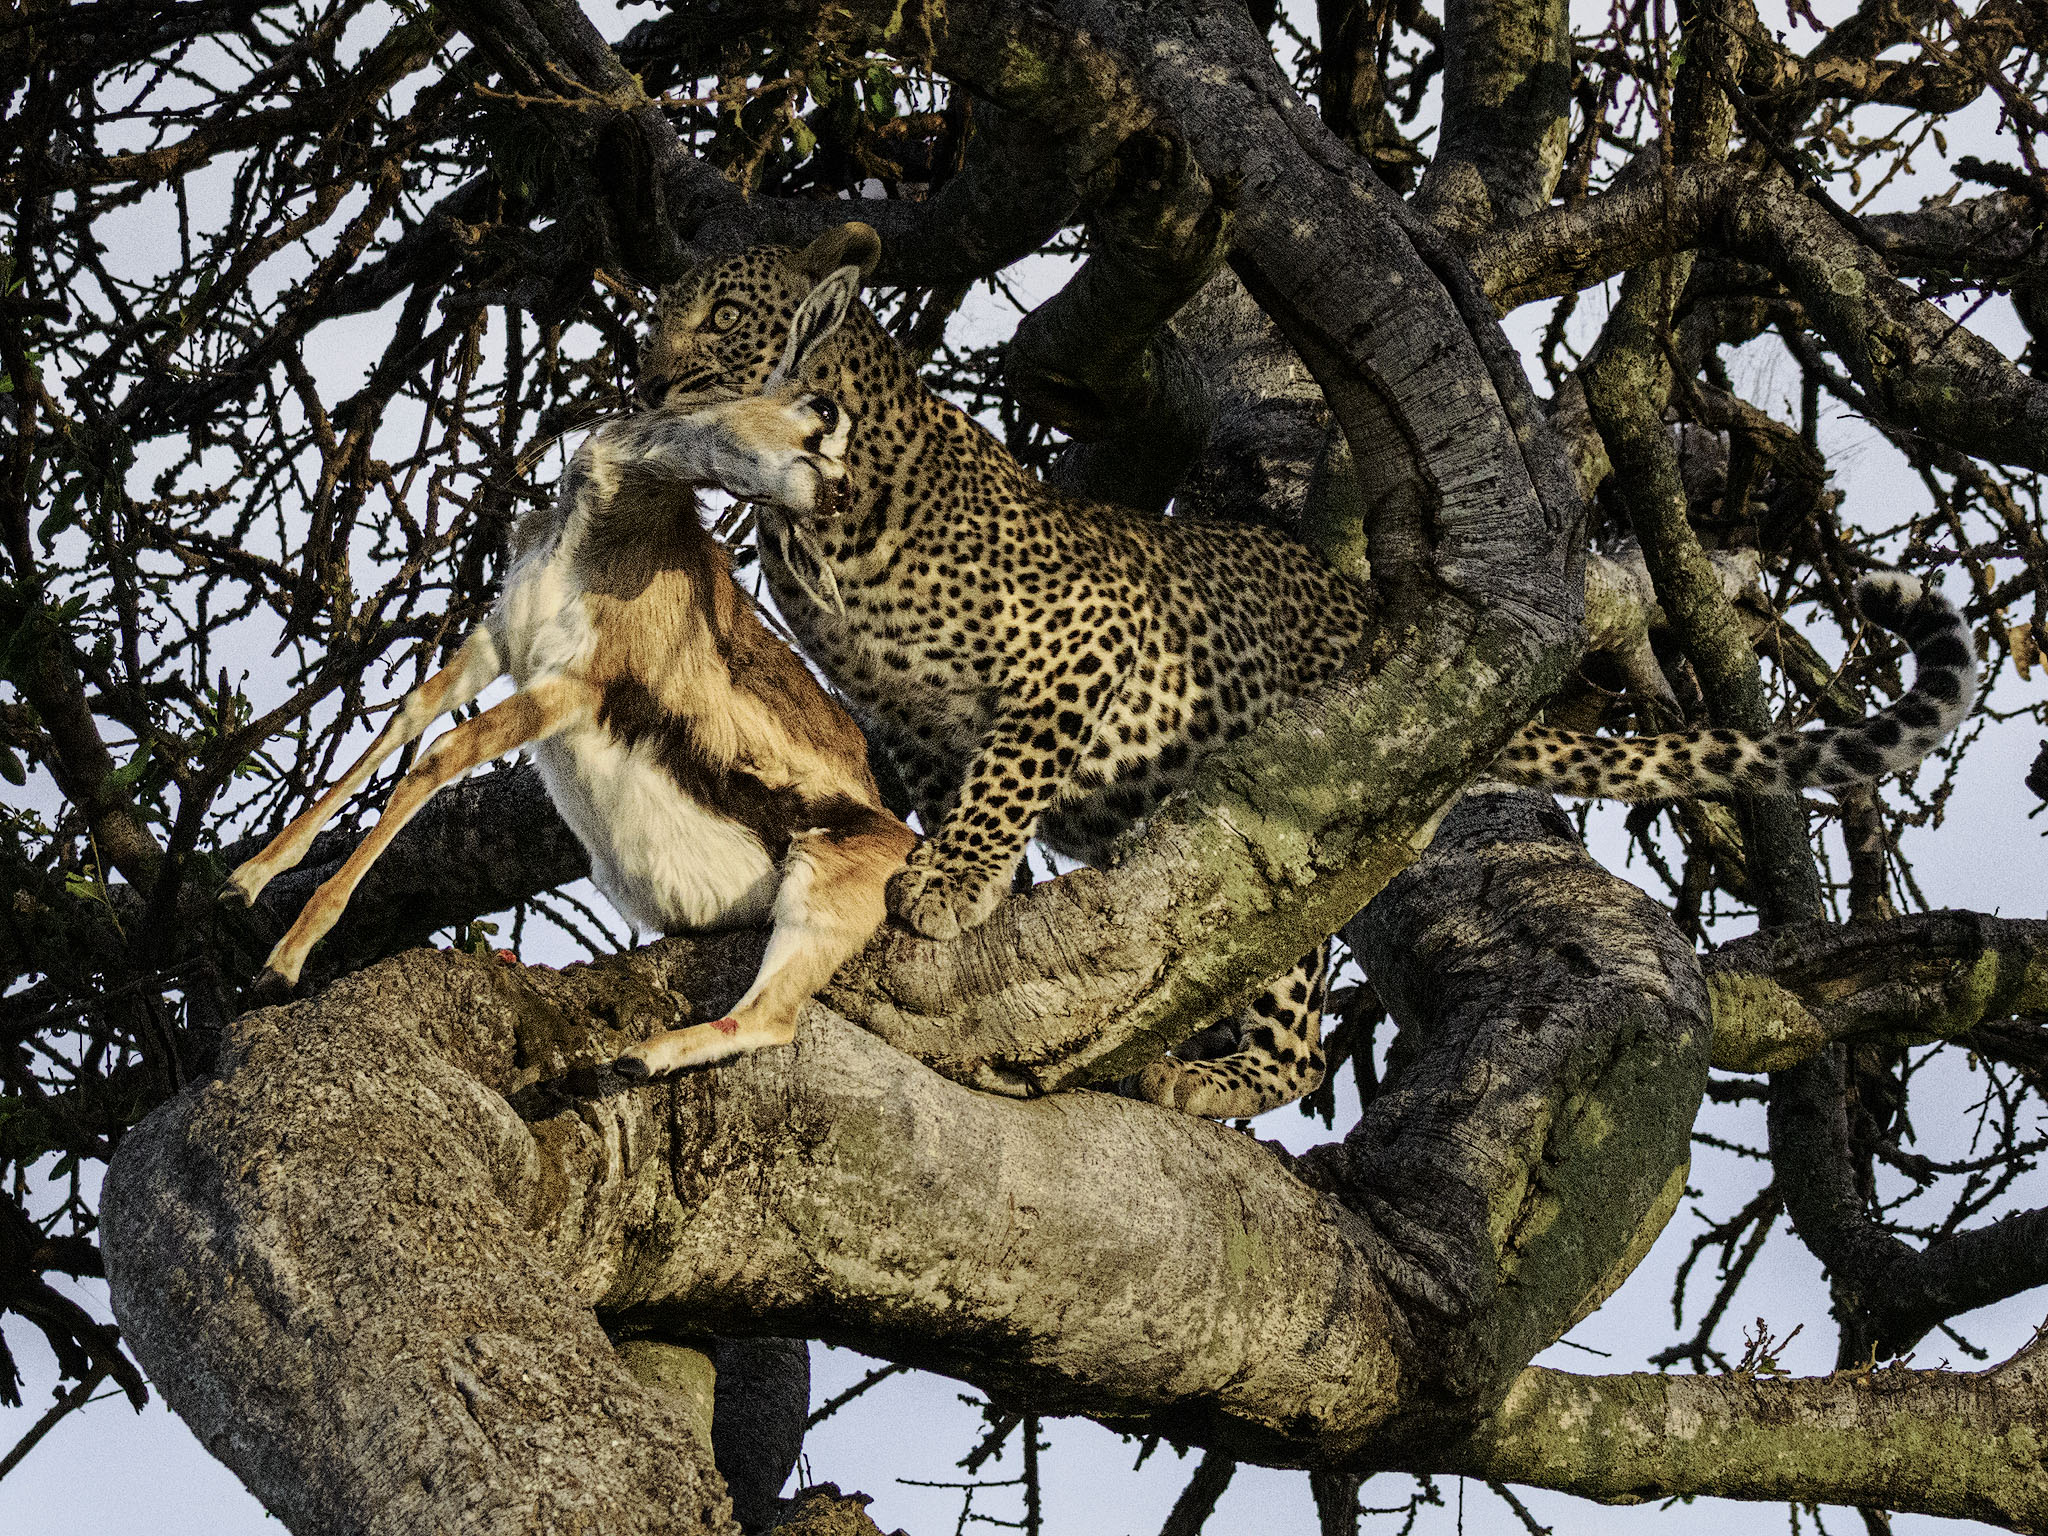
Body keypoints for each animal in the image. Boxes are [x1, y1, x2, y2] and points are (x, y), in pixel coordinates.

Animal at [227, 266, 913, 1077]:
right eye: (821, 409)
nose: (838, 493)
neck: (601, 534)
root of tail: (904, 844)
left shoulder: (568, 688)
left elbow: (442, 754)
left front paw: (283, 962)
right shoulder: (498, 639)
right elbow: (409, 714)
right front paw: (245, 880)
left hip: (816, 891)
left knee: (774, 1019)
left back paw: (634, 1059)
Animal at [638, 221, 1979, 1120]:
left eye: (715, 322)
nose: (646, 378)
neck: (817, 517)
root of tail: (1362, 612)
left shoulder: (1079, 645)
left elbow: (1007, 774)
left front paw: (949, 883)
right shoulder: (904, 717)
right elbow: (952, 790)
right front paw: (957, 877)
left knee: (1296, 1045)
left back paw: (1203, 1076)